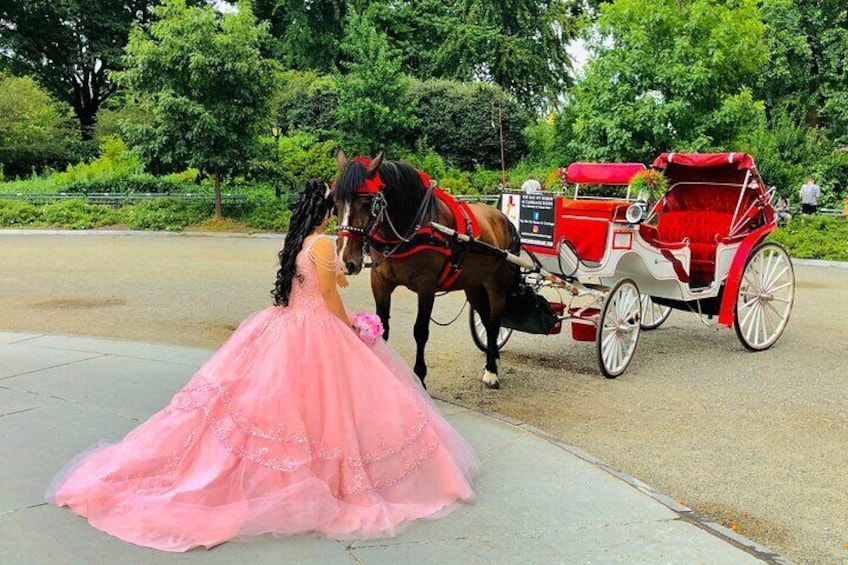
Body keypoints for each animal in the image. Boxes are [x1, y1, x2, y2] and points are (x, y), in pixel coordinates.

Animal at [332, 150, 516, 388]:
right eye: (335, 202)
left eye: (366, 203)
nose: (346, 261)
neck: (411, 227)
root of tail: (503, 218)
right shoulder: (380, 281)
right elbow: (382, 327)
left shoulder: (426, 286)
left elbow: (420, 331)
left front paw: (419, 376)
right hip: (474, 285)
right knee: (485, 319)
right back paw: (491, 358)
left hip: (497, 284)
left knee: (494, 323)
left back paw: (491, 371)